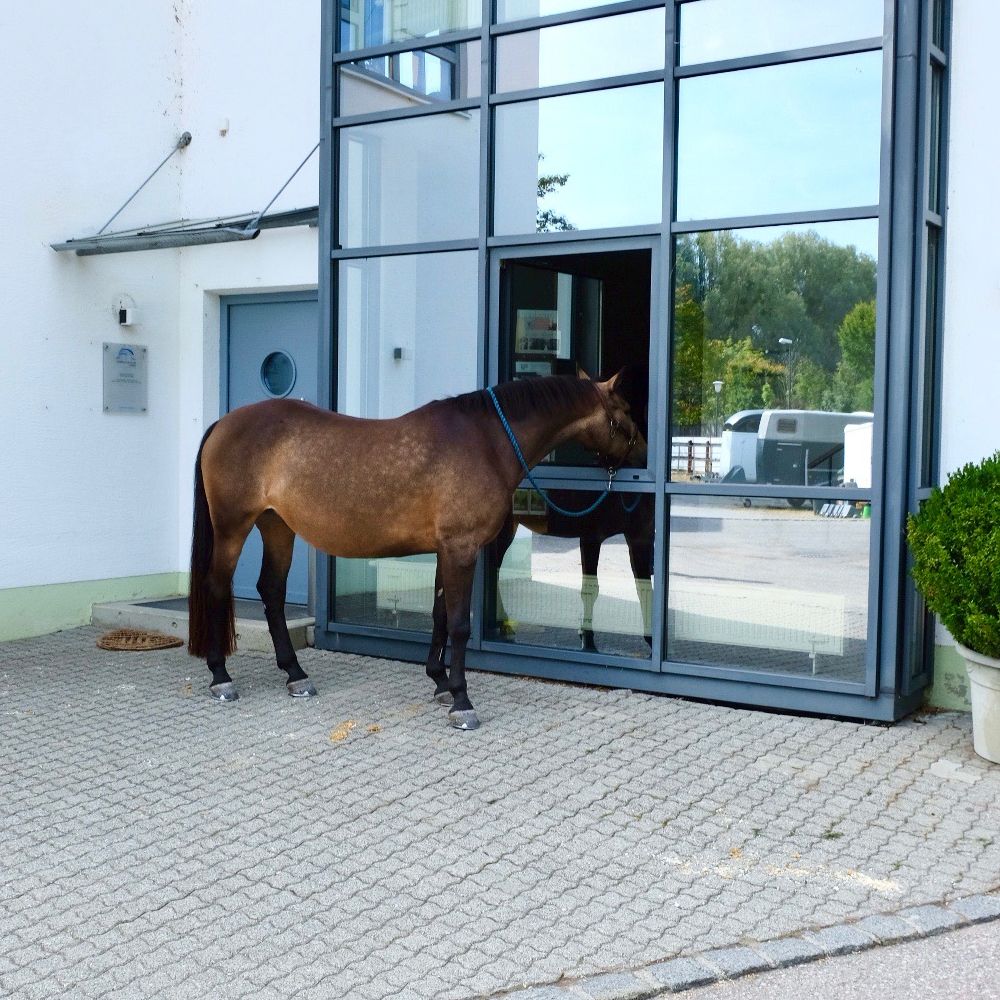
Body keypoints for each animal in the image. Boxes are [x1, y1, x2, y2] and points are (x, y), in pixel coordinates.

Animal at [188, 372, 640, 732]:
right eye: (625, 410)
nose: (641, 458)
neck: (487, 440)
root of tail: (223, 423)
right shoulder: (462, 548)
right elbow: (459, 624)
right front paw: (461, 701)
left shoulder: (446, 550)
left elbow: (440, 616)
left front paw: (439, 683)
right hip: (233, 528)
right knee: (217, 587)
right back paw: (221, 677)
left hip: (277, 527)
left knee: (272, 591)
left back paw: (295, 674)